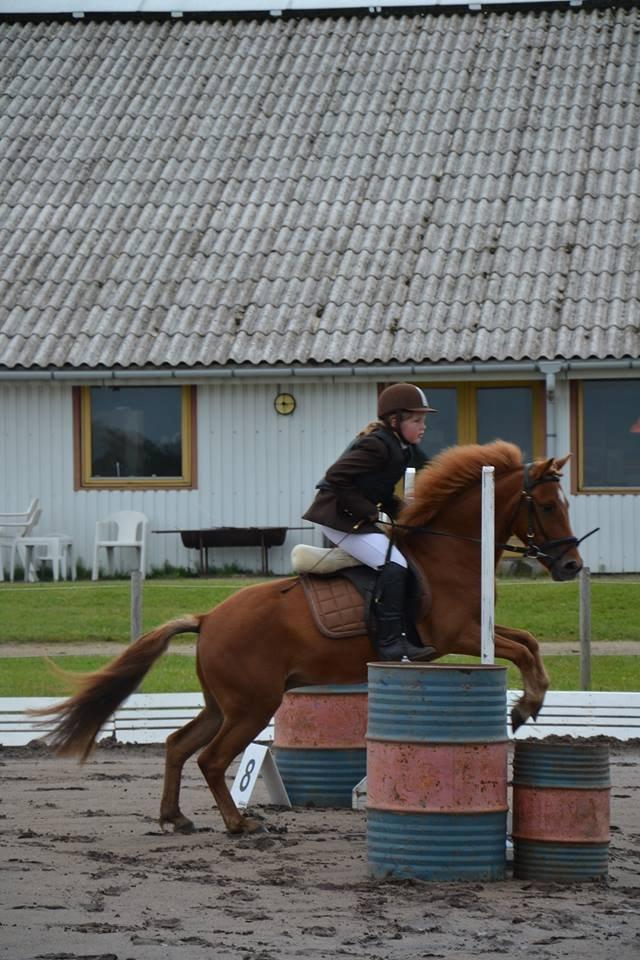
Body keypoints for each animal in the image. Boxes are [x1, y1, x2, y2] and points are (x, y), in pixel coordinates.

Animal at [35, 440, 584, 832]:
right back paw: (239, 824)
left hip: (224, 703)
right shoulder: (460, 636)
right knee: (212, 759)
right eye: (548, 507)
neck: (449, 551)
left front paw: (528, 705)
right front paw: (526, 705)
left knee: (177, 744)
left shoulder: (476, 628)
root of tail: (210, 618)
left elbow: (528, 641)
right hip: (254, 705)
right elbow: (519, 650)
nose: (571, 566)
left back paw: (175, 818)